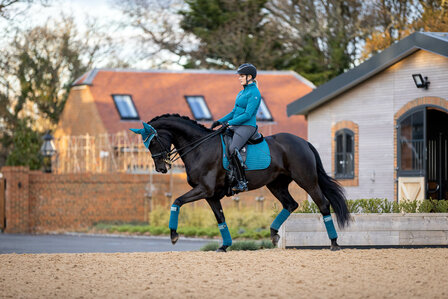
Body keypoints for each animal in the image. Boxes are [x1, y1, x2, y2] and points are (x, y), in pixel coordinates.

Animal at [131, 113, 352, 252]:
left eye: (153, 141)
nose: (160, 168)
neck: (200, 147)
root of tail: (303, 141)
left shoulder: (204, 189)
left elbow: (176, 201)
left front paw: (173, 235)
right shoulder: (211, 195)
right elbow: (220, 218)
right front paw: (224, 245)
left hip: (307, 180)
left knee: (323, 204)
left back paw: (334, 243)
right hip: (276, 184)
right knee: (291, 204)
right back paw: (273, 234)